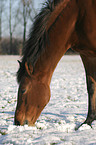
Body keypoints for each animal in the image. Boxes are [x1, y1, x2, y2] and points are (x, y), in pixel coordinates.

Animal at [14, 0, 96, 129]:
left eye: (23, 90)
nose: (17, 122)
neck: (78, 16)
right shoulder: (87, 55)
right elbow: (91, 86)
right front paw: (88, 121)